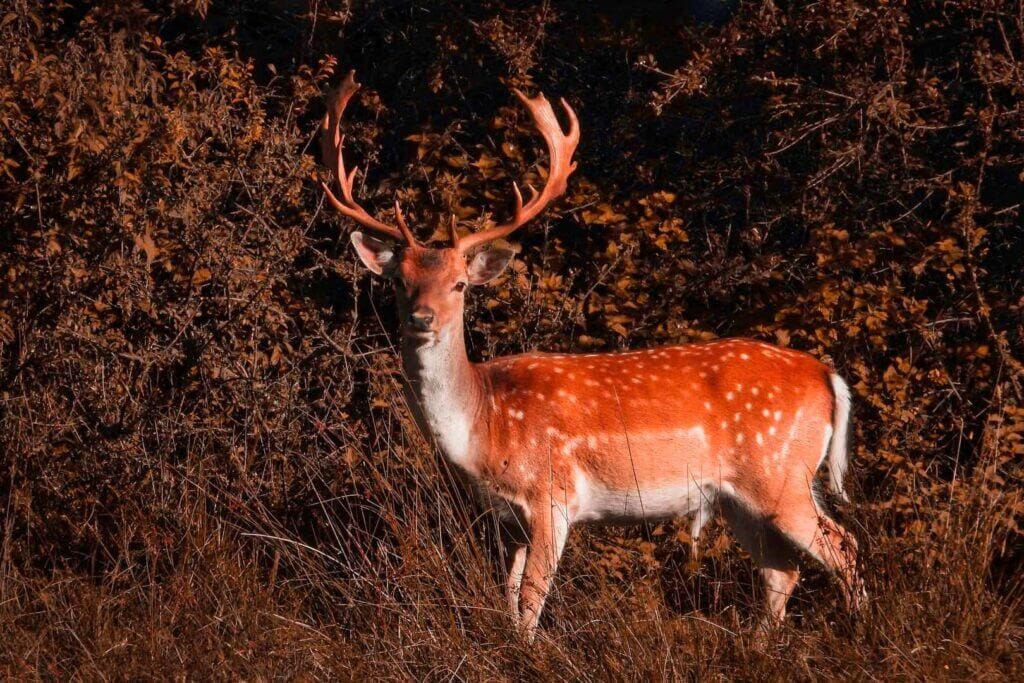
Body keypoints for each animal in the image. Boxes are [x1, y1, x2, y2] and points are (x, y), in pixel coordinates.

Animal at [315, 70, 860, 643]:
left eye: (460, 284)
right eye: (399, 282)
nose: (423, 319)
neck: (484, 425)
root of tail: (829, 376)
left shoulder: (550, 495)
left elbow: (531, 600)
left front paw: (529, 653)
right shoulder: (510, 518)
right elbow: (508, 596)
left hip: (781, 472)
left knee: (842, 546)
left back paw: (860, 632)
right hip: (738, 495)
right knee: (782, 569)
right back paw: (759, 648)